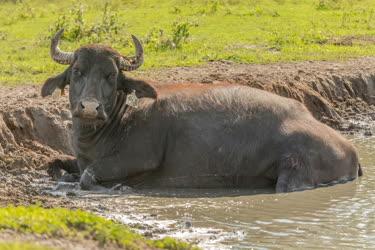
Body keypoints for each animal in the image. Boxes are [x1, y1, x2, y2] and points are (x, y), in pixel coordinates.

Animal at [42, 29, 362, 193]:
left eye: (111, 75)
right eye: (78, 72)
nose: (89, 107)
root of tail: (351, 150)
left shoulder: (138, 158)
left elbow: (89, 176)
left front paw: (119, 187)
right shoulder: (79, 157)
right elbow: (54, 163)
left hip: (295, 172)